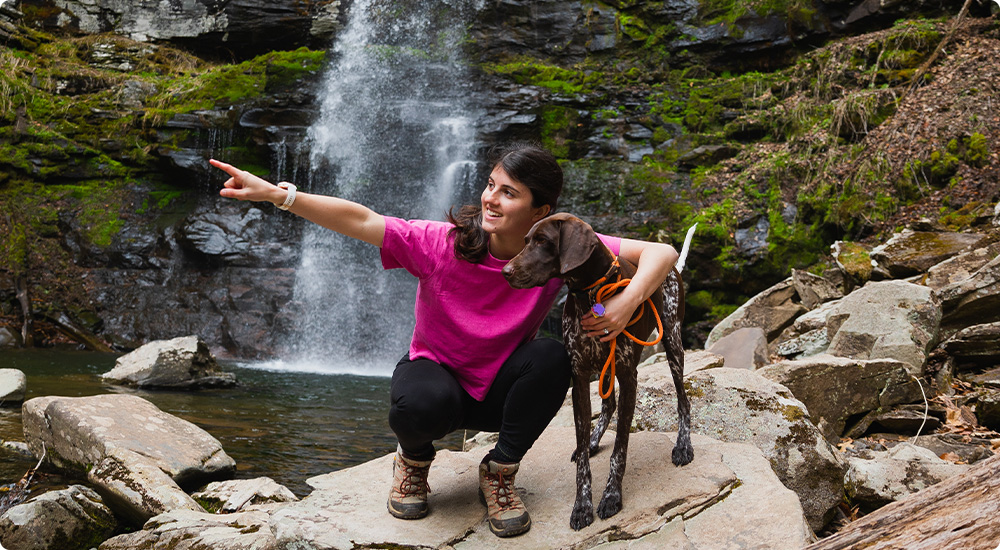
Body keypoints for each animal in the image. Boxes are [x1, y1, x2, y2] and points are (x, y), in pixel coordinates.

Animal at [504, 213, 692, 532]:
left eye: (542, 241)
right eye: (526, 240)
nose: (505, 271)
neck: (591, 295)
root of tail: (673, 266)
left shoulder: (629, 376)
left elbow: (620, 449)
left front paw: (612, 496)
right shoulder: (579, 378)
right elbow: (582, 459)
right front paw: (582, 504)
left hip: (673, 342)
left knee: (684, 400)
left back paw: (683, 445)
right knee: (608, 405)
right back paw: (593, 441)